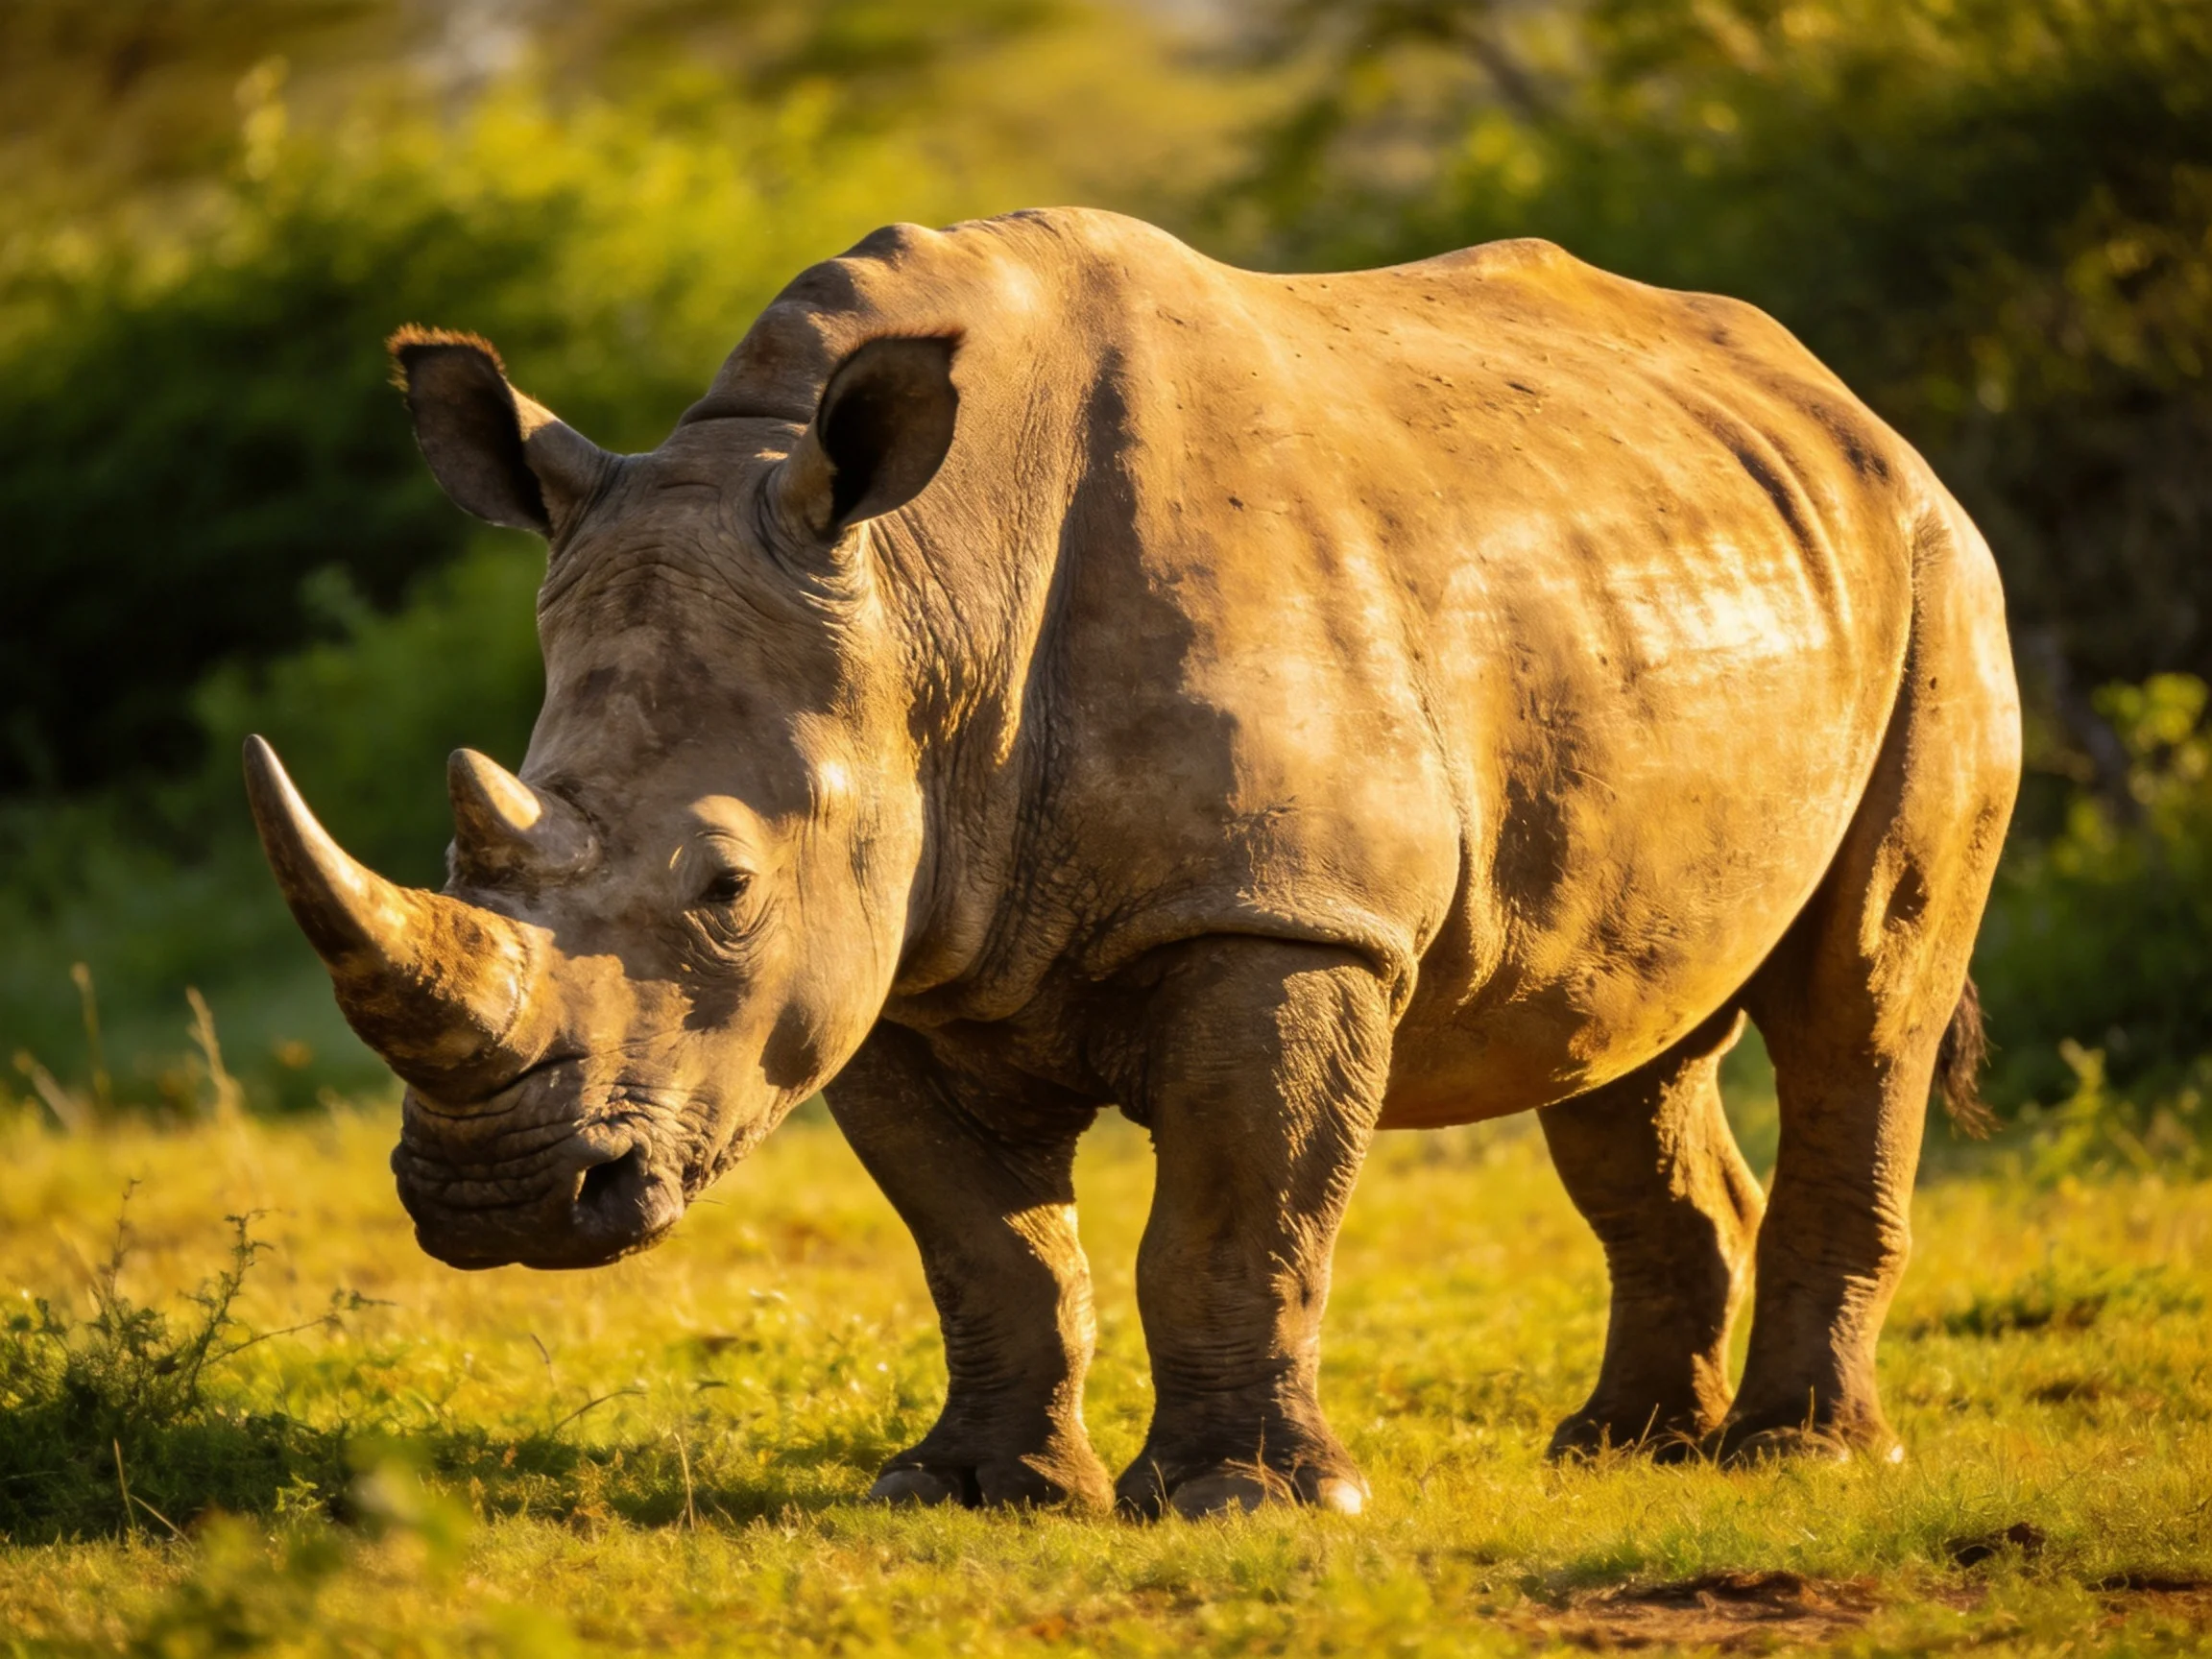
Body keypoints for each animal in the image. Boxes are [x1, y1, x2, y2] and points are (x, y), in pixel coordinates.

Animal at [246, 208, 2020, 1517]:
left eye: (726, 889)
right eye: (479, 843)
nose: (499, 1202)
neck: (921, 589)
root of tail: (1846, 405)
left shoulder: (1278, 917)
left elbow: (1235, 1219)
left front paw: (1253, 1504)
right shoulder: (892, 954)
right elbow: (987, 1248)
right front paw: (976, 1493)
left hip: (1942, 572)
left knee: (1860, 1000)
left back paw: (1803, 1458)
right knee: (1620, 1029)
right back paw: (1621, 1451)